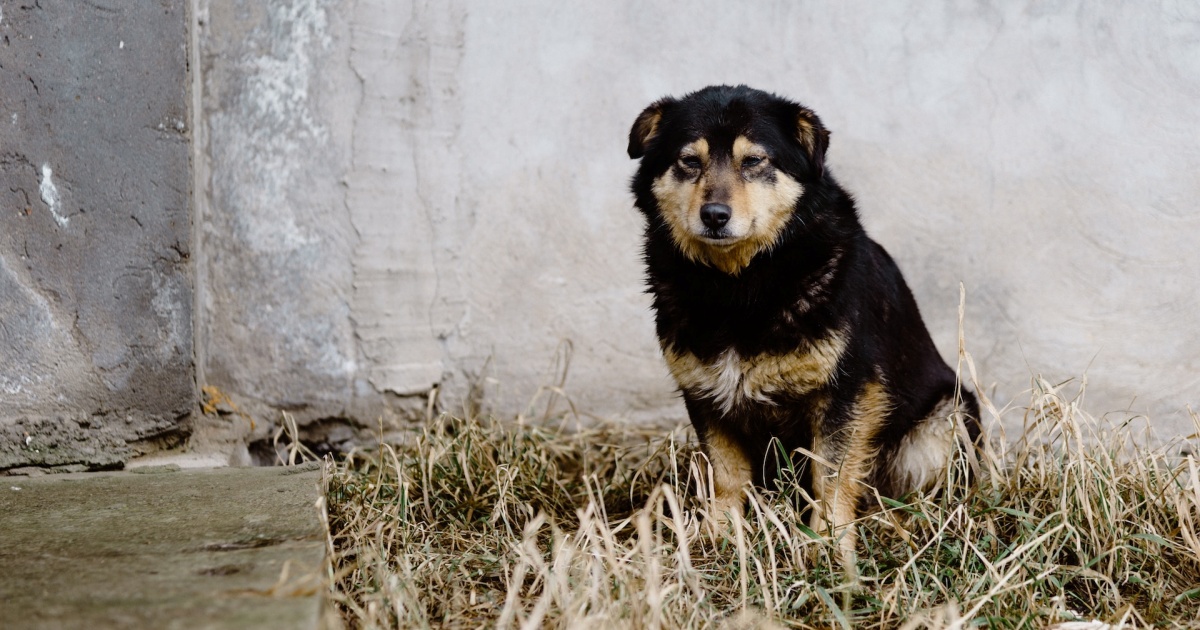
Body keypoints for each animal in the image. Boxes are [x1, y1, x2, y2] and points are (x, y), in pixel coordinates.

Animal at [624, 83, 979, 573]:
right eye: (689, 161)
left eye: (754, 161)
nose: (714, 214)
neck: (738, 285)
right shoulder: (704, 392)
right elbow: (726, 474)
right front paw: (720, 535)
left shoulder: (848, 391)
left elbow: (830, 474)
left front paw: (829, 545)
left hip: (946, 419)